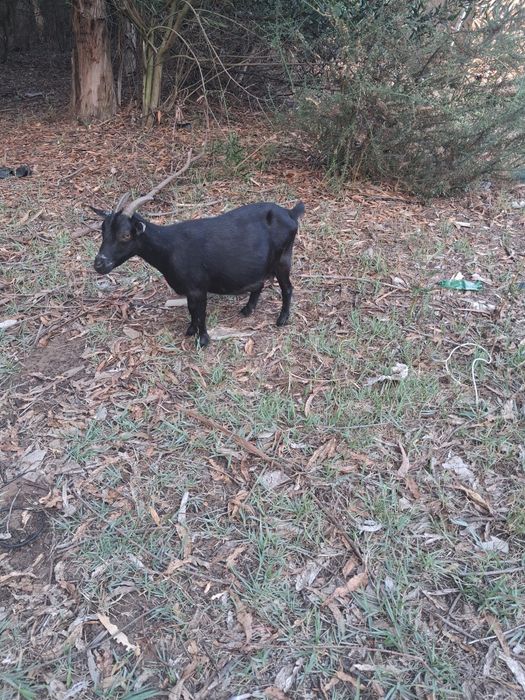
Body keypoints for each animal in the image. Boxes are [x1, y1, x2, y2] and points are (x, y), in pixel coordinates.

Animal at [92, 151, 305, 347]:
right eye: (103, 230)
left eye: (125, 235)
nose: (99, 264)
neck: (169, 247)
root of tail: (291, 213)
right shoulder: (189, 289)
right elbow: (191, 310)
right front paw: (190, 330)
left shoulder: (198, 287)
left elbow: (200, 312)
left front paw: (202, 339)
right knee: (259, 283)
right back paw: (247, 310)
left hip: (283, 258)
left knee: (287, 288)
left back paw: (282, 319)